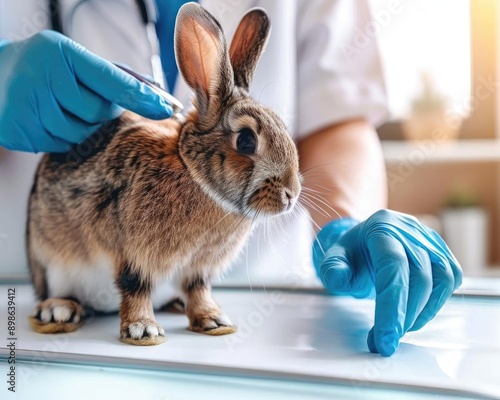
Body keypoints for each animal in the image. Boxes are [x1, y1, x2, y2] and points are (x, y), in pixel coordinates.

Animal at [26, 2, 300, 346]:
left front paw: (213, 321)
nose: (292, 194)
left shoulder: (198, 268)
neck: (193, 174)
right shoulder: (133, 255)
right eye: (247, 140)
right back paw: (58, 310)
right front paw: (143, 330)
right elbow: (135, 287)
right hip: (50, 262)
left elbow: (198, 291)